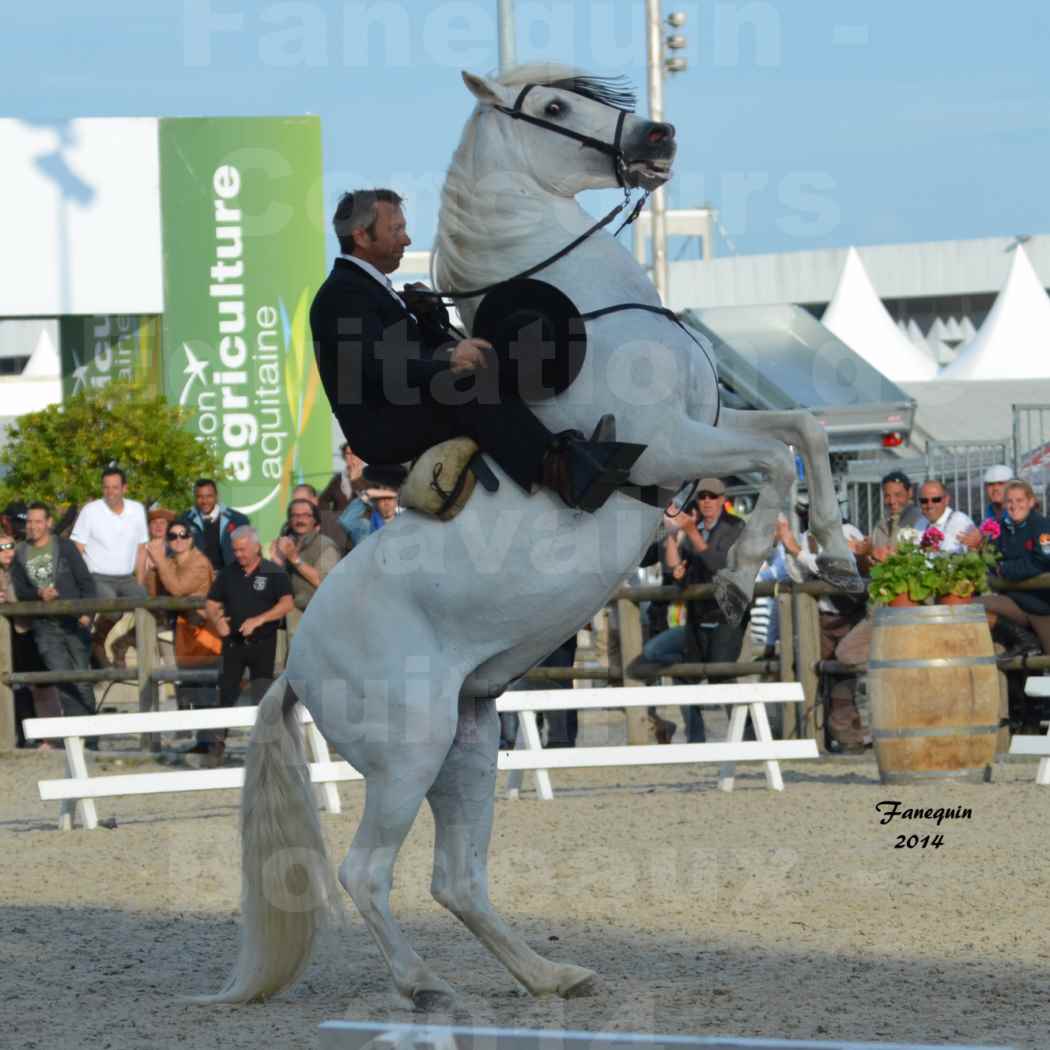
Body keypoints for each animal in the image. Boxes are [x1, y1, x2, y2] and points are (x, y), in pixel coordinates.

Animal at [198, 63, 860, 1007]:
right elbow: (777, 458)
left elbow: (803, 433)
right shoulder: (667, 447)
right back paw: (427, 987)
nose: (658, 138)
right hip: (409, 757)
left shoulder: (707, 431)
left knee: (456, 879)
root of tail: (296, 665)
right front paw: (738, 577)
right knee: (367, 873)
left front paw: (833, 558)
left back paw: (550, 975)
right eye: (553, 106)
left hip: (468, 746)